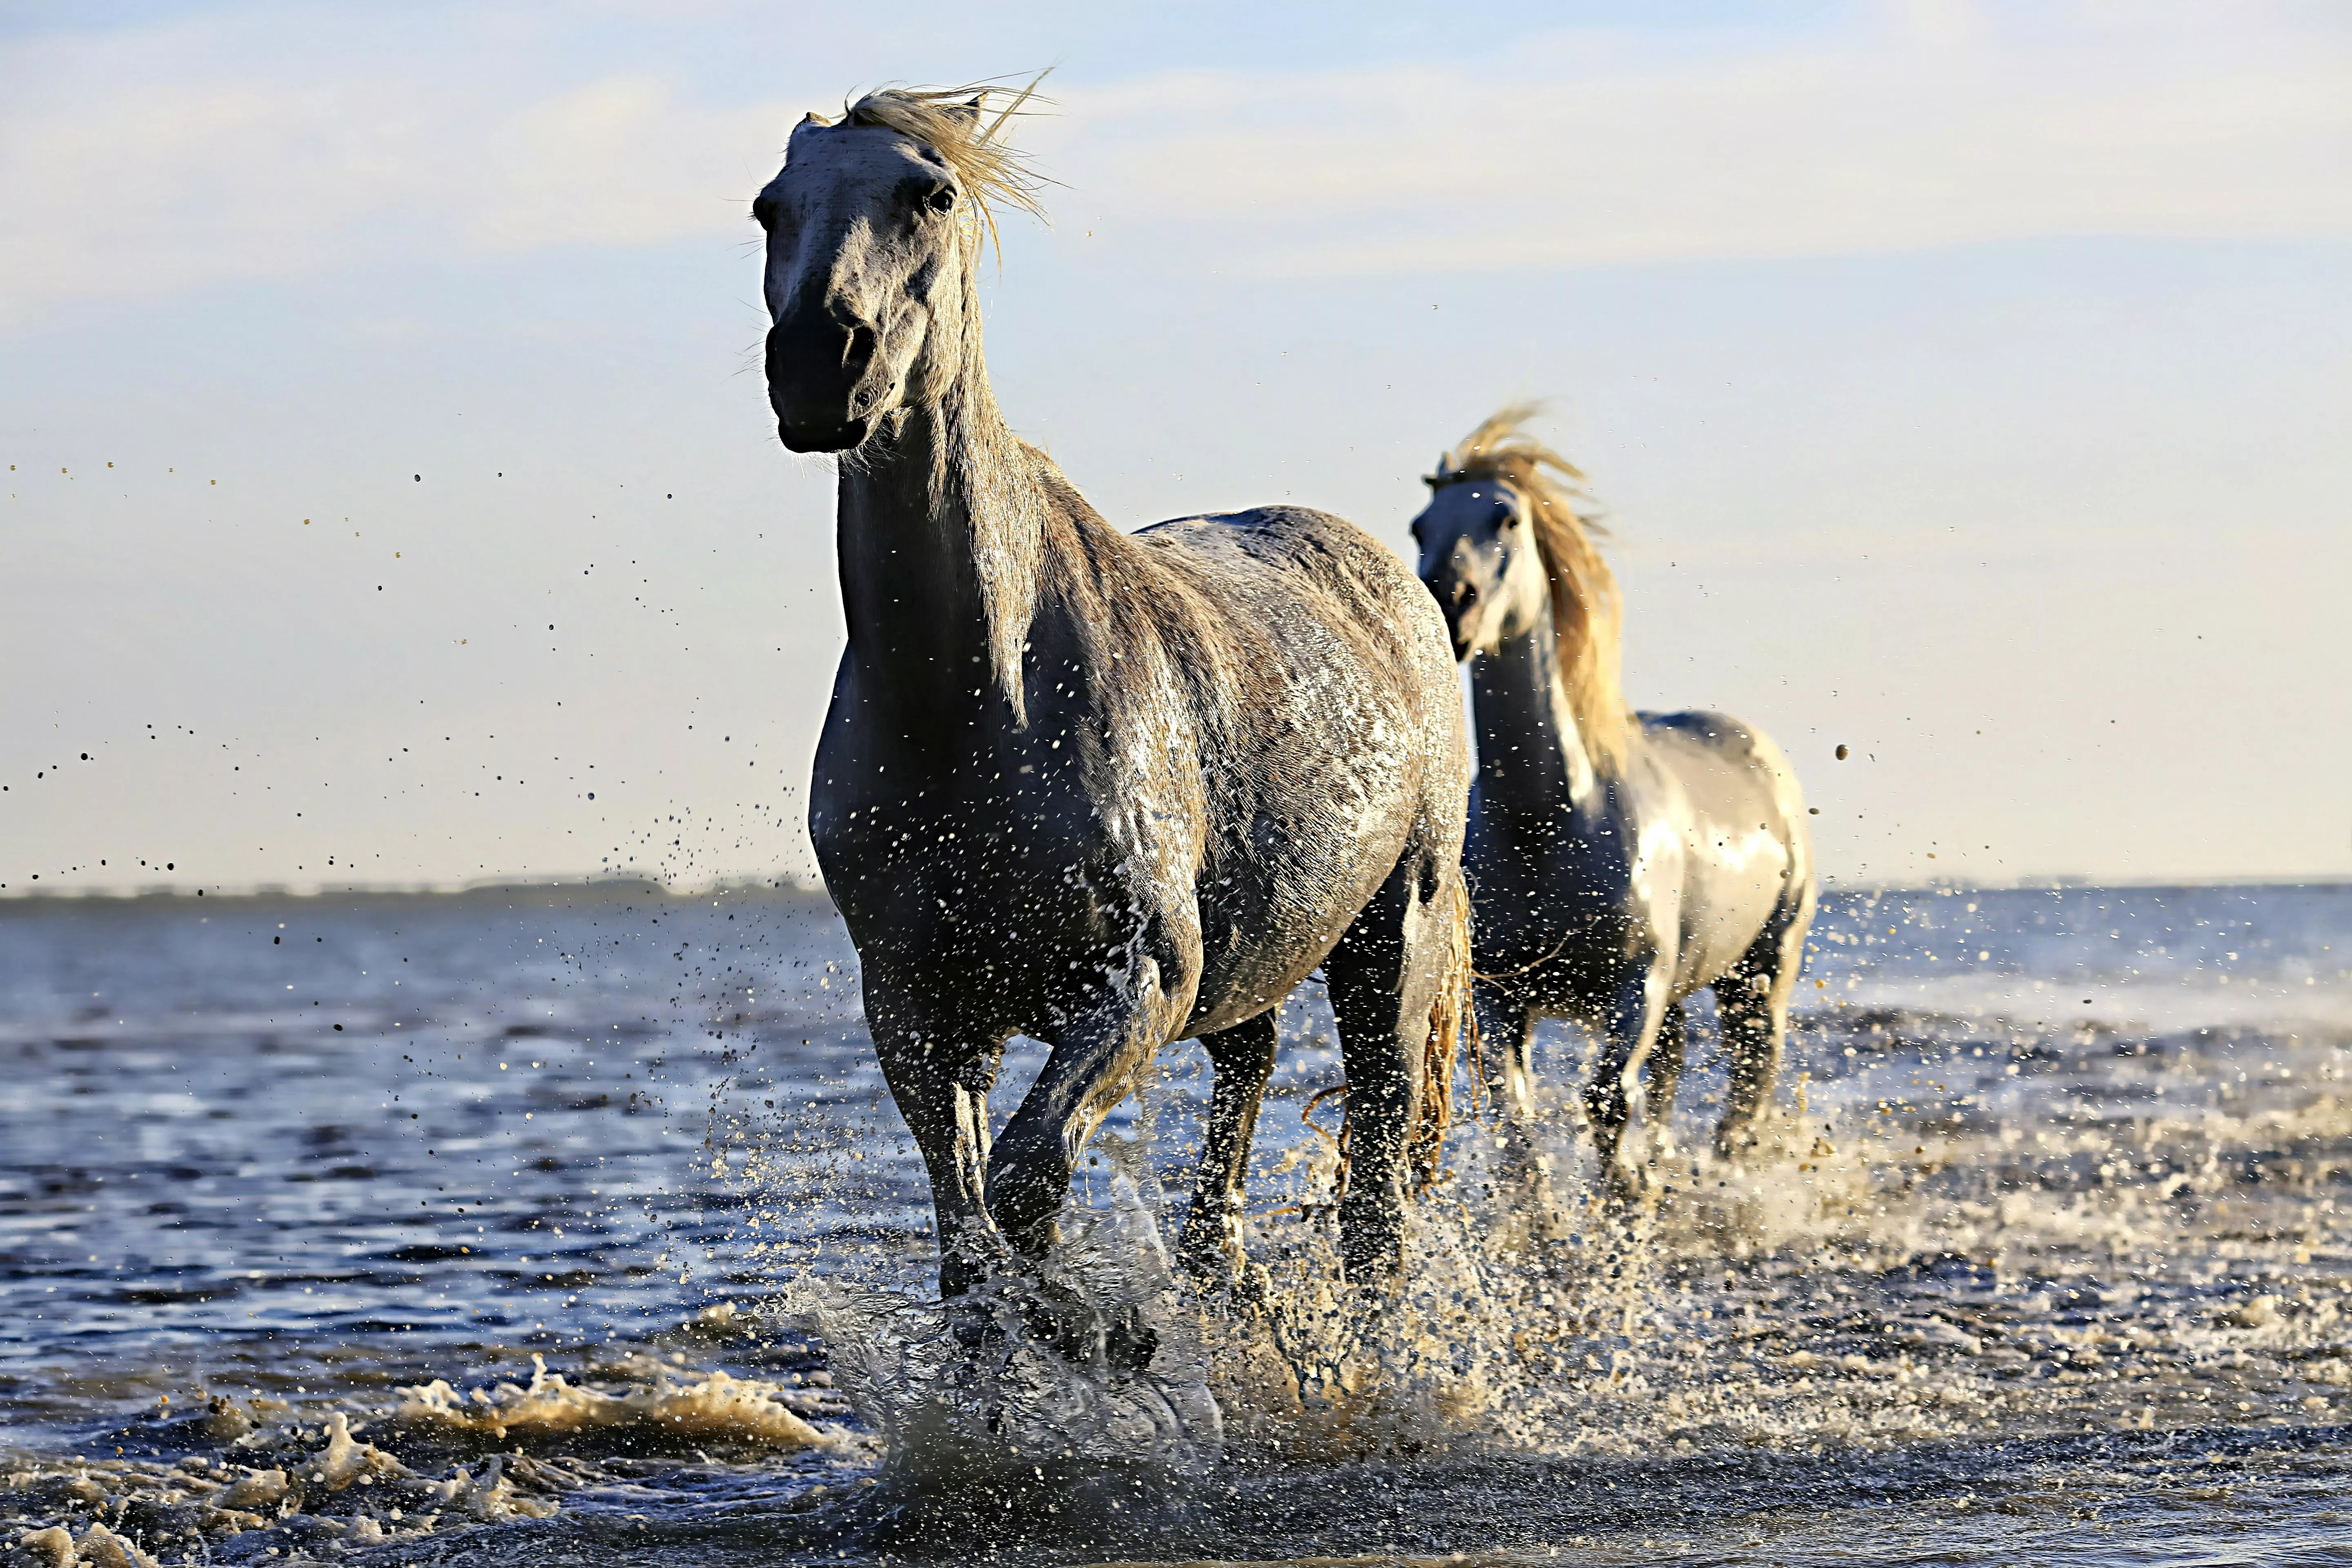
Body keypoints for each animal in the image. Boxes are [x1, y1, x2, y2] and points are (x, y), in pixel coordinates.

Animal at [754, 83, 1471, 1311]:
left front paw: (1102, 1333)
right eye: (769, 207)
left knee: (1376, 1187)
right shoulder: (916, 1007)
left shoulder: (1137, 979)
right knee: (1245, 1087)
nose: (818, 361)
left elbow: (1026, 1182)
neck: (973, 706)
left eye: (928, 194)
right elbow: (970, 1244)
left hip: (1393, 940)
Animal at [1408, 406, 1815, 1208]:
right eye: (1419, 526)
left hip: (1760, 972)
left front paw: (1624, 1198)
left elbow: (1605, 1103)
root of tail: (1761, 754)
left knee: (1749, 1079)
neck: (1549, 822)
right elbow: (1518, 1121)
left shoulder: (1638, 984)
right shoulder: (1505, 996)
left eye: (1506, 519)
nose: (1448, 602)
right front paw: (1547, 1226)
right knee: (1674, 1068)